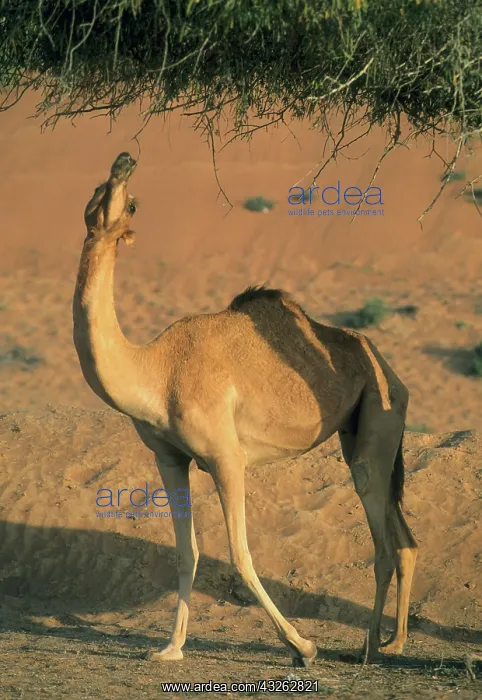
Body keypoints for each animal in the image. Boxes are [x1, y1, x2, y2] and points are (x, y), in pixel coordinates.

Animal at [73, 152, 418, 667]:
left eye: (131, 203)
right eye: (98, 191)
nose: (124, 161)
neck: (156, 370)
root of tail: (390, 370)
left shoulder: (225, 456)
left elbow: (239, 553)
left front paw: (303, 646)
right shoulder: (168, 457)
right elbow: (186, 552)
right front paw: (170, 648)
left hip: (379, 412)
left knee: (379, 539)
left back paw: (368, 649)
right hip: (361, 428)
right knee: (404, 540)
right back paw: (393, 641)